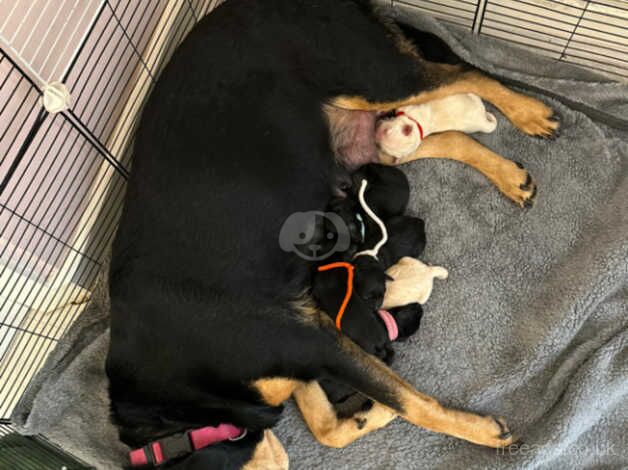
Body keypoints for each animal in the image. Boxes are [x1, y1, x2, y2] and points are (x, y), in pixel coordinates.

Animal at [108, 1, 560, 468]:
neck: (176, 412)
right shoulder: (308, 344)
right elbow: (328, 430)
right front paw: (367, 416)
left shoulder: (310, 344)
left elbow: (411, 404)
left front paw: (483, 433)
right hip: (373, 142)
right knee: (450, 135)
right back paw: (510, 176)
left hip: (373, 74)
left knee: (464, 73)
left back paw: (530, 113)